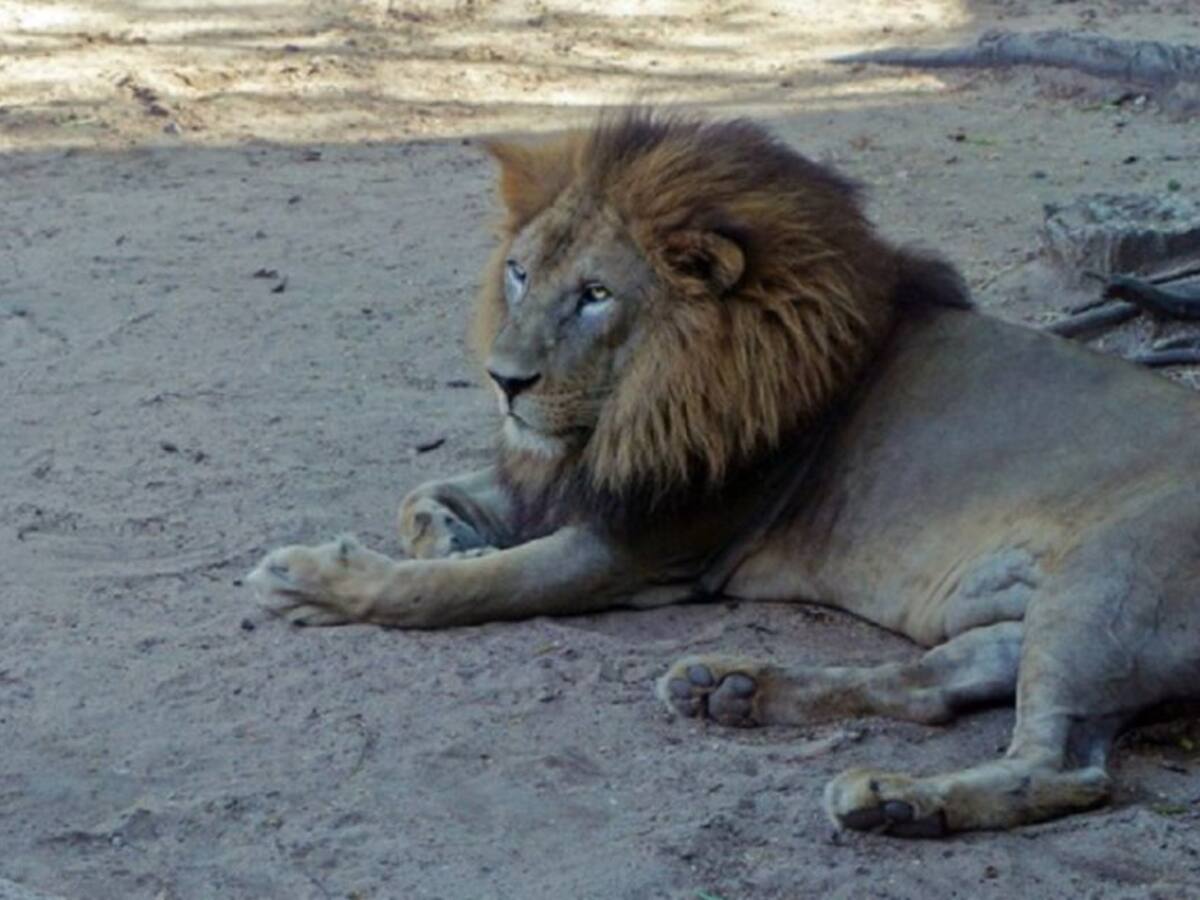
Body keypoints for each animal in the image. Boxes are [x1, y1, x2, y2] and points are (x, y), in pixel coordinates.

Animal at [248, 110, 1200, 837]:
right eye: (519, 274)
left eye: (595, 295)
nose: (503, 379)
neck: (639, 400)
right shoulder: (588, 478)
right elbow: (425, 498)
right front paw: (452, 540)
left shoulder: (633, 546)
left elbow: (451, 593)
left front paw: (315, 581)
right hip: (1044, 611)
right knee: (935, 684)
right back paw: (733, 690)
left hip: (1101, 588)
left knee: (1066, 768)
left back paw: (896, 800)